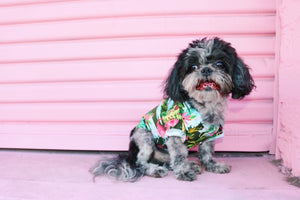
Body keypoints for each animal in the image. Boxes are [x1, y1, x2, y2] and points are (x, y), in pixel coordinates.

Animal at [91, 37, 255, 181]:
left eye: (220, 64)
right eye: (193, 67)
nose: (206, 70)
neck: (204, 107)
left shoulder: (211, 135)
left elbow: (206, 152)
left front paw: (212, 166)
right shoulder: (175, 133)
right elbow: (179, 156)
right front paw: (183, 172)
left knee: (167, 162)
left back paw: (191, 164)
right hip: (144, 137)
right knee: (141, 163)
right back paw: (155, 169)